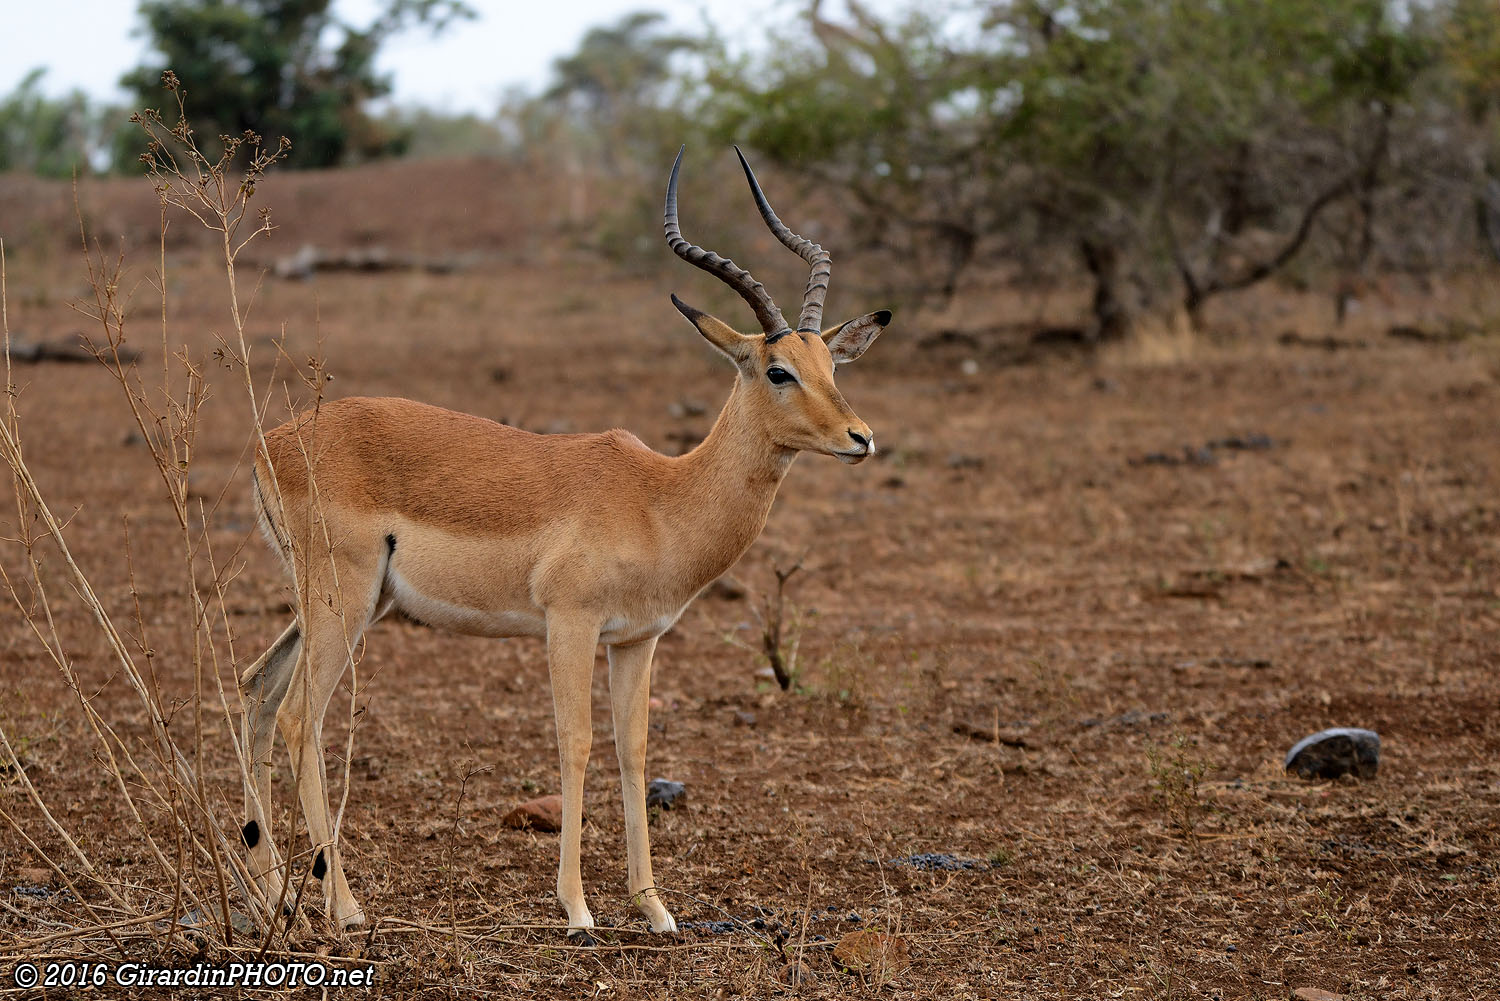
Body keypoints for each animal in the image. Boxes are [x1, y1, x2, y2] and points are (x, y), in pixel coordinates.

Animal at [237, 147, 891, 936]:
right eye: (778, 370)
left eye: (833, 367)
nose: (861, 438)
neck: (660, 497)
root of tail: (271, 443)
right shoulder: (569, 624)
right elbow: (574, 744)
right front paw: (577, 907)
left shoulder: (637, 639)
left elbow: (633, 751)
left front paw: (654, 907)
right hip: (344, 602)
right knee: (300, 716)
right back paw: (343, 905)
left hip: (341, 604)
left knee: (257, 689)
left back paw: (268, 895)